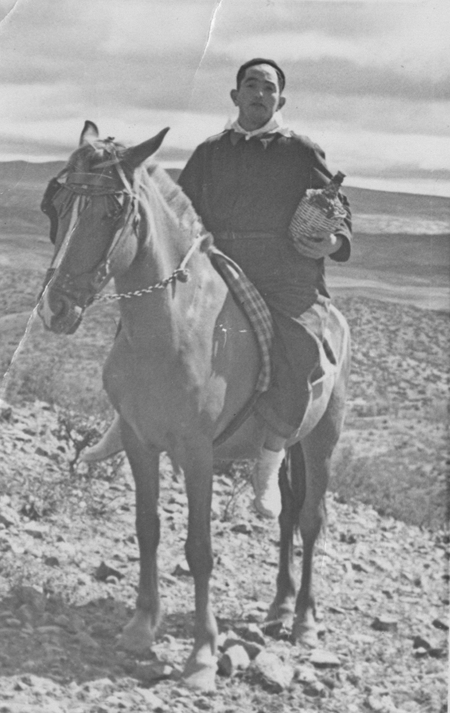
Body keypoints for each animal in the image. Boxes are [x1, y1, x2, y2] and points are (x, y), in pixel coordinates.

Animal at [38, 121, 351, 691]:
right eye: (56, 205)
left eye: (113, 211)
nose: (56, 308)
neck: (173, 327)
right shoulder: (140, 443)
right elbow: (147, 529)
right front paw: (141, 626)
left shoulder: (198, 453)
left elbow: (200, 550)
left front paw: (202, 655)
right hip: (291, 446)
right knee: (287, 513)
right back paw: (278, 606)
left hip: (322, 439)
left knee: (312, 519)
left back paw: (304, 620)